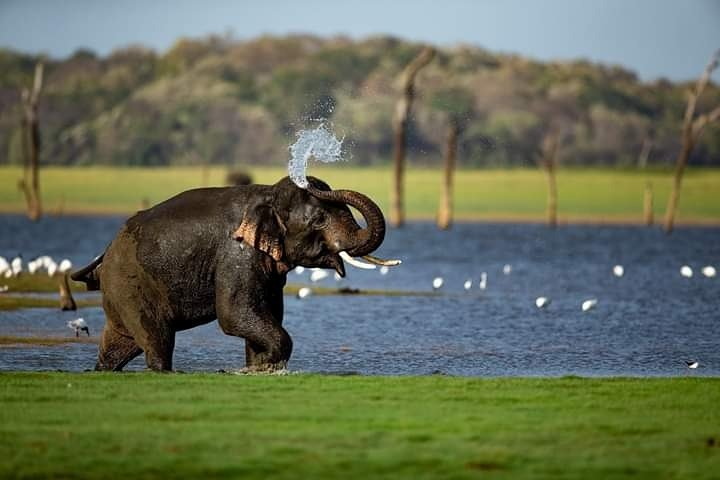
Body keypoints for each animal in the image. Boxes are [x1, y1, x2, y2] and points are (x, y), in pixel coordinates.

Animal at [71, 176, 396, 372]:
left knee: (118, 346)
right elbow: (235, 314)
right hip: (131, 286)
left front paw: (260, 367)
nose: (310, 179)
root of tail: (105, 253)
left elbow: (266, 313)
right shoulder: (235, 254)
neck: (268, 194)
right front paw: (265, 367)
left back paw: (101, 370)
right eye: (318, 220)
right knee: (157, 339)